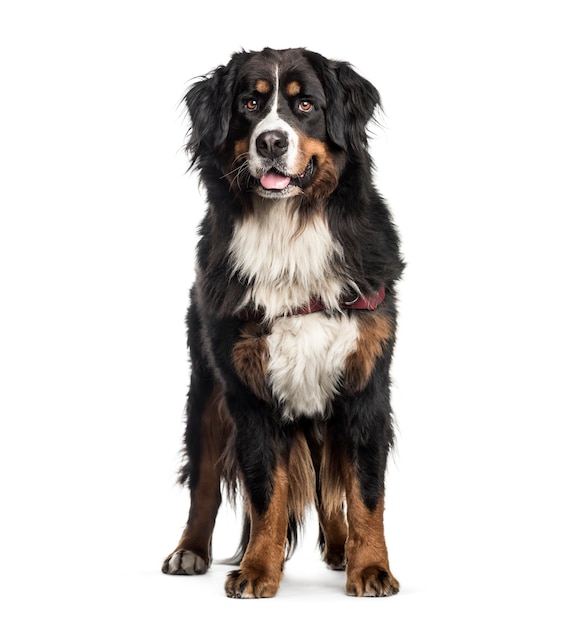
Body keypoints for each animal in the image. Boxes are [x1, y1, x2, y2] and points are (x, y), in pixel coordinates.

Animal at [162, 47, 404, 596]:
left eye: (306, 104)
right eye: (250, 103)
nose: (271, 140)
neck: (290, 233)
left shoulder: (365, 384)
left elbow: (365, 491)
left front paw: (371, 568)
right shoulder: (247, 389)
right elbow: (265, 490)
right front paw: (258, 569)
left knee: (328, 483)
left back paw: (341, 549)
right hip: (205, 394)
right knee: (206, 482)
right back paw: (189, 550)